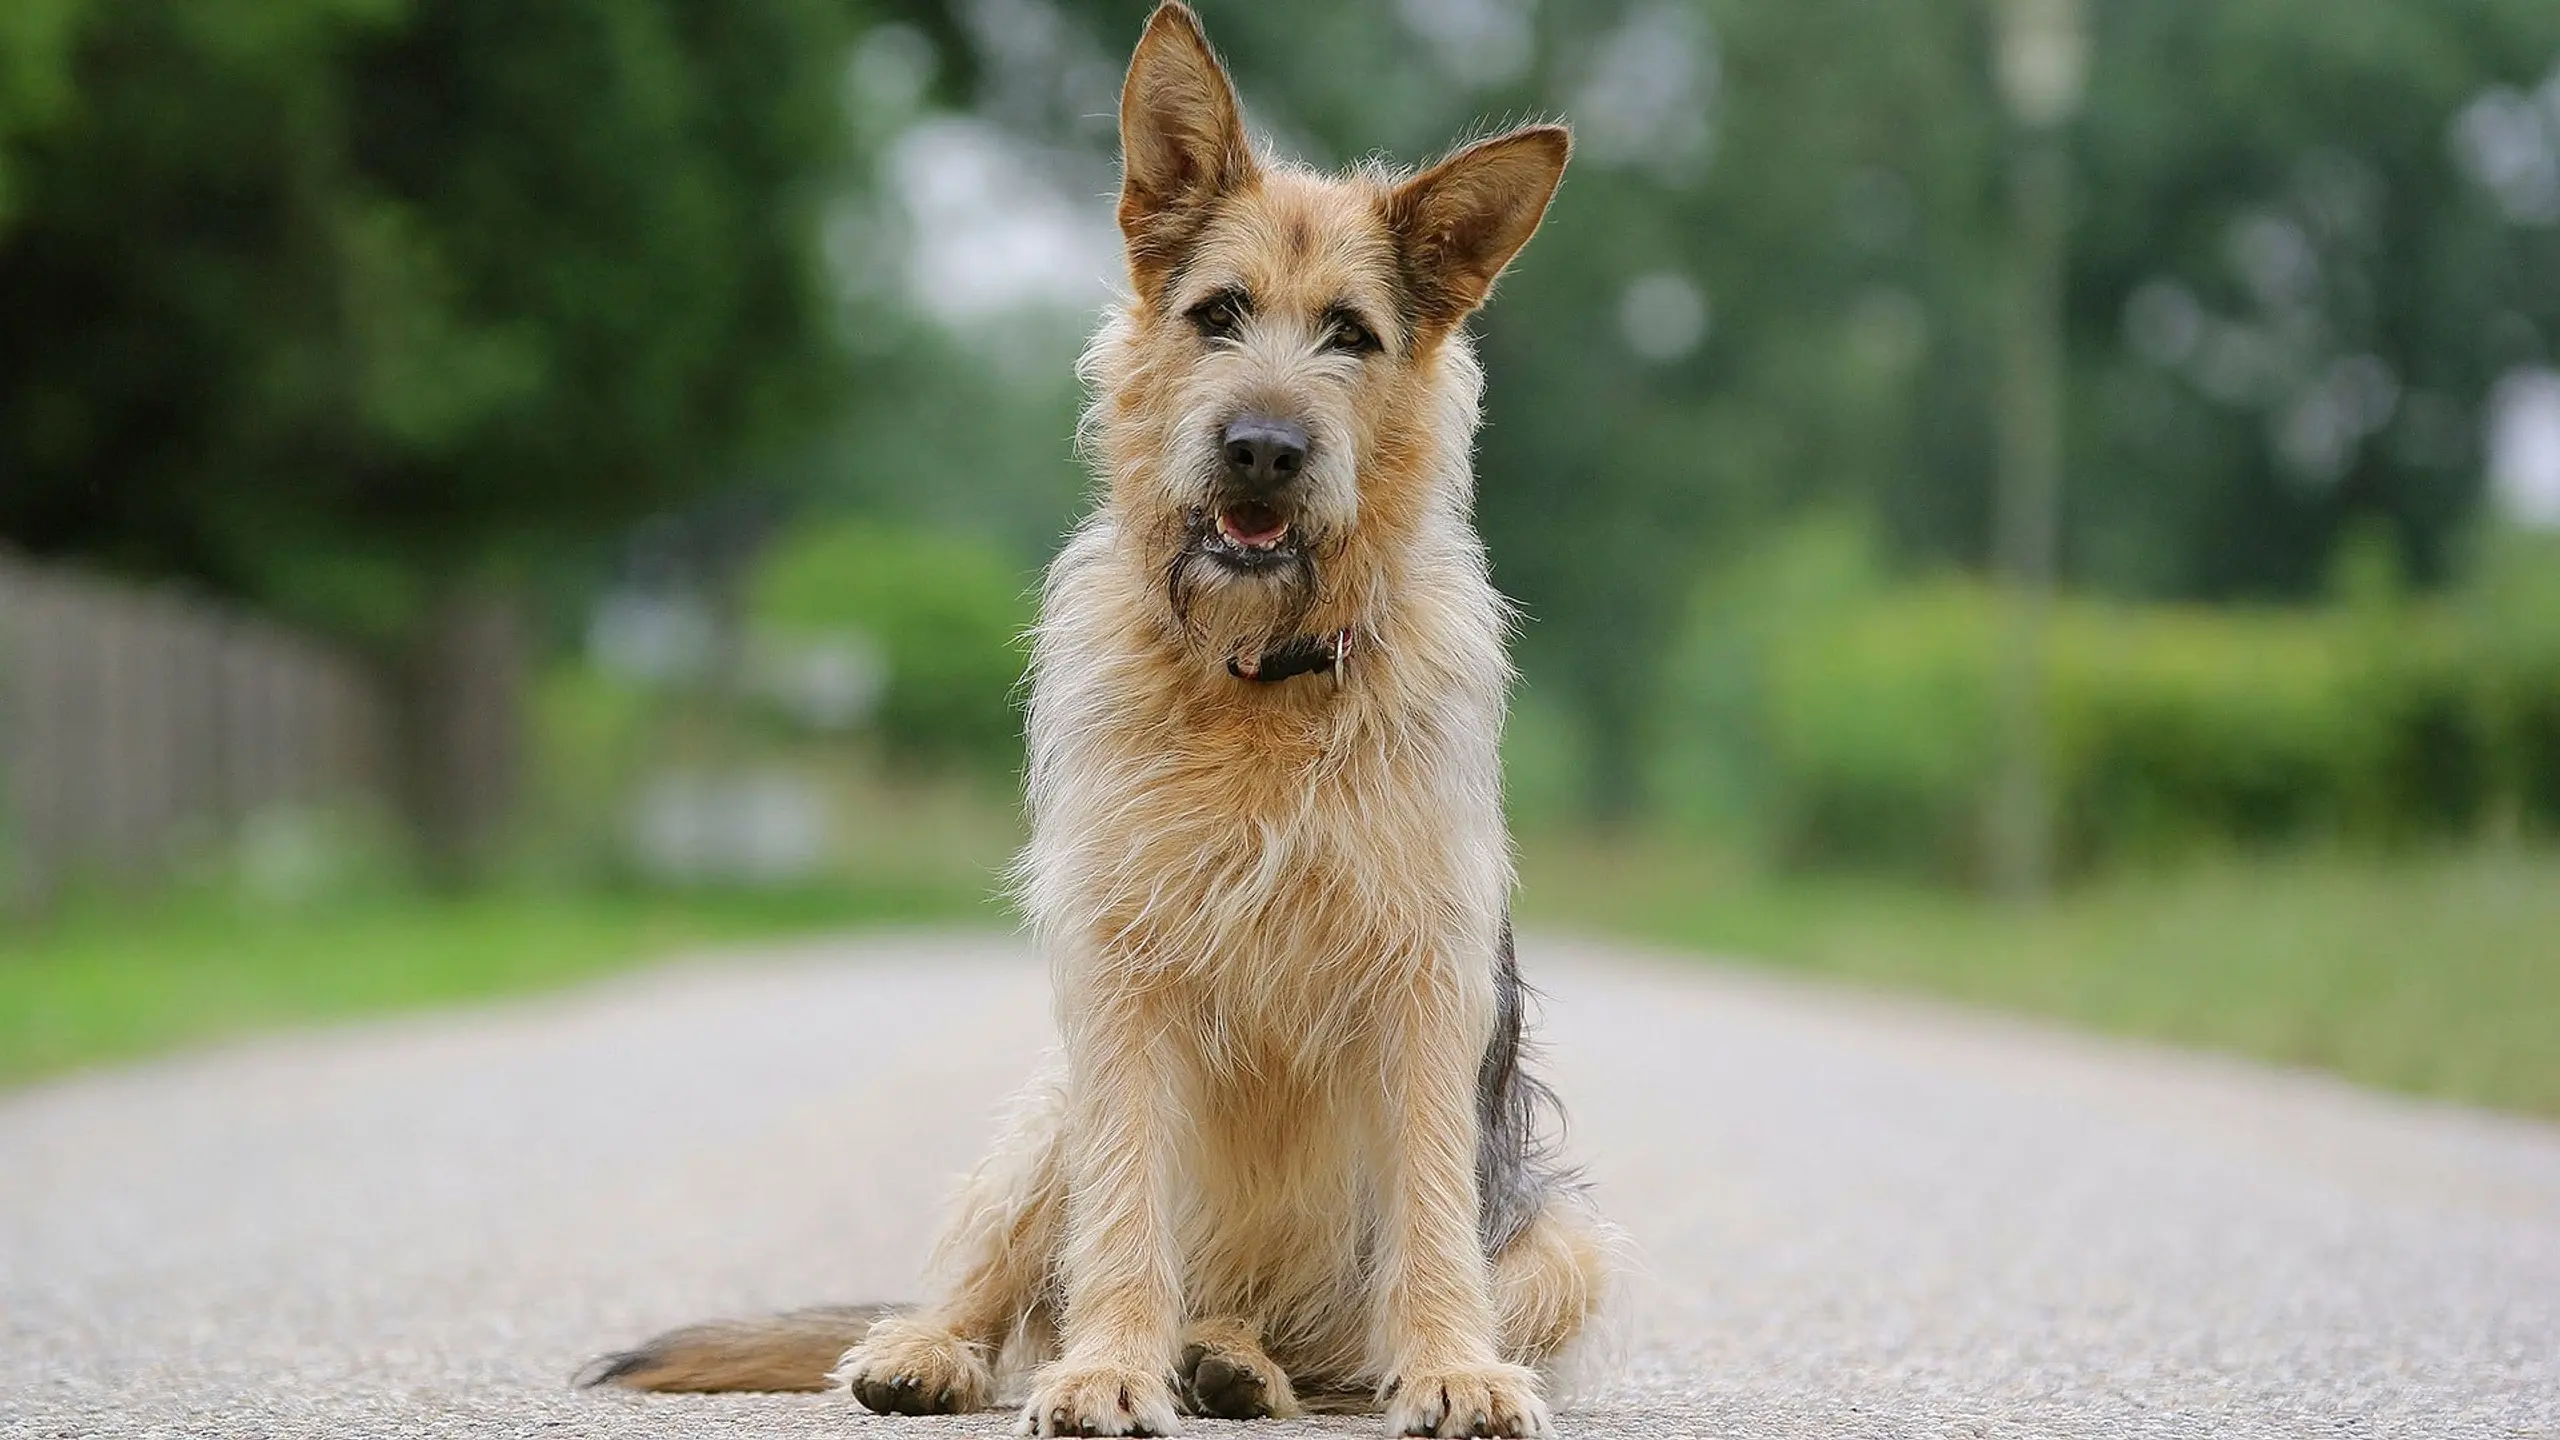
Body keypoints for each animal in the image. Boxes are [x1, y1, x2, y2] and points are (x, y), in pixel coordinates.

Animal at [588, 5, 1607, 1424]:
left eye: (1350, 334)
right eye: (1218, 313)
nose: (1262, 449)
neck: (1256, 674)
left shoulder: (1422, 982)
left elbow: (1429, 1205)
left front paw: (1455, 1367)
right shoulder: (1124, 980)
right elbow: (1125, 1205)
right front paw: (1110, 1368)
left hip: (1564, 1247)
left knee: (1328, 1357)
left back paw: (1238, 1363)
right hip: (1044, 1121)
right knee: (998, 1282)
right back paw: (946, 1352)